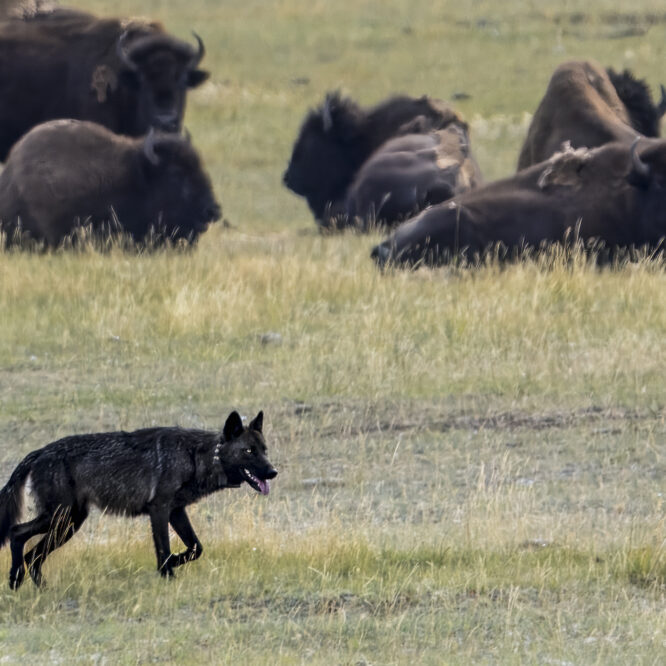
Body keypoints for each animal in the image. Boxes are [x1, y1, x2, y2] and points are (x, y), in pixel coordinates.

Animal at [0, 410, 277, 589]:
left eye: (264, 450)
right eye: (249, 451)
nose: (273, 472)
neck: (196, 457)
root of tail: (39, 452)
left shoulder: (177, 511)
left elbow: (196, 548)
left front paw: (174, 564)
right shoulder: (159, 510)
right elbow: (164, 549)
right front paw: (168, 574)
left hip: (68, 524)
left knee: (31, 554)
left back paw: (36, 587)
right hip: (61, 519)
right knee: (17, 533)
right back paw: (15, 580)